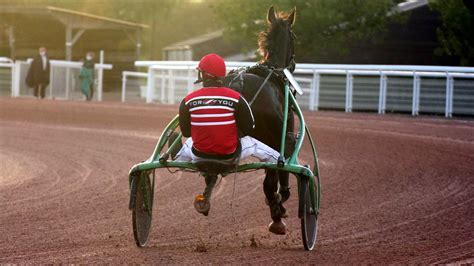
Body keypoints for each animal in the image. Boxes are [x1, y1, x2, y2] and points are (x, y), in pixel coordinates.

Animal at [223, 5, 296, 235]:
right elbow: (278, 177)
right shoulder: (283, 137)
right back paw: (277, 217)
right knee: (269, 181)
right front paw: (280, 205)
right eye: (294, 37)